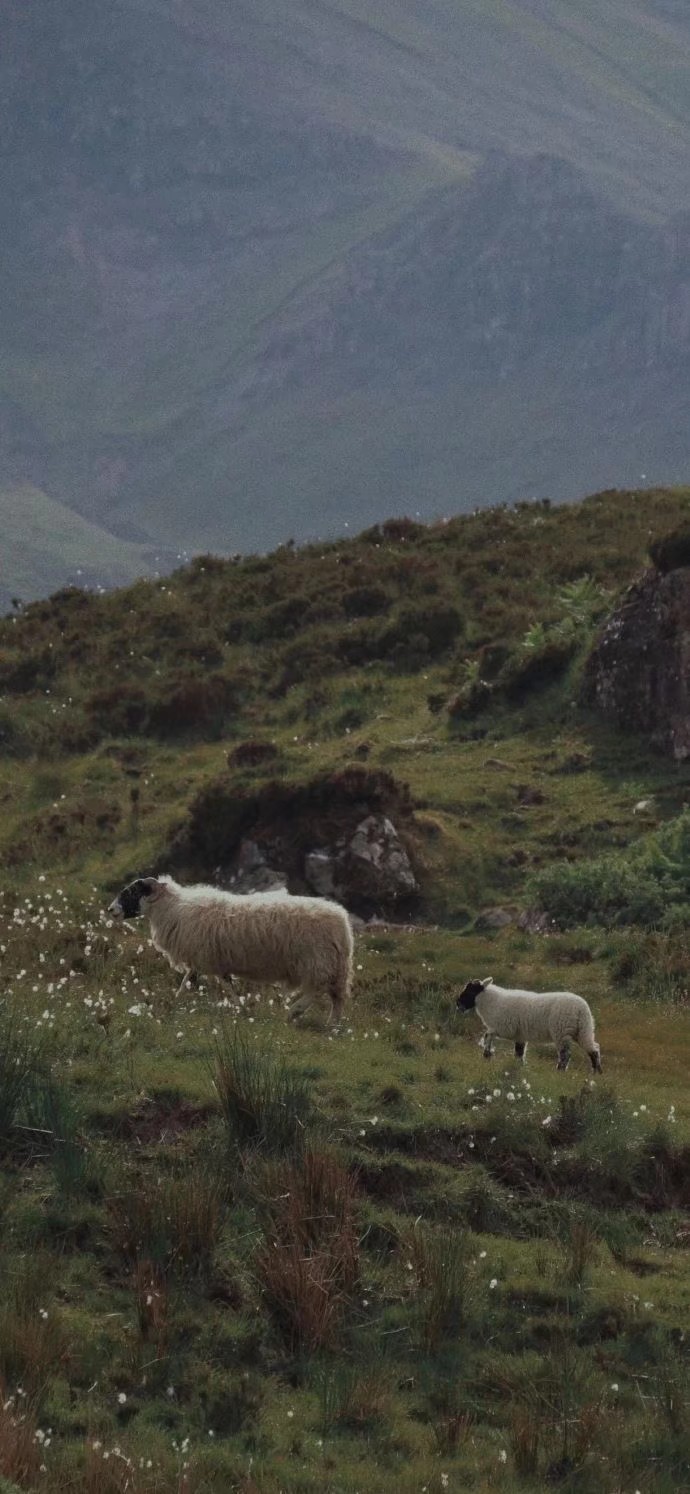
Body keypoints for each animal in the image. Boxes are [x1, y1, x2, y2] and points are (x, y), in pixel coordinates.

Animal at [109, 872, 355, 1027]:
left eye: (131, 892)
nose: (111, 910)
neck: (173, 910)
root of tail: (342, 922)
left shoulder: (207, 959)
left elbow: (220, 985)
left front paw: (241, 1009)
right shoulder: (205, 960)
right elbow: (192, 982)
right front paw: (175, 1003)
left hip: (316, 961)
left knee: (318, 989)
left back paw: (295, 1011)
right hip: (333, 965)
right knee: (336, 997)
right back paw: (332, 1024)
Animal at [454, 974, 600, 1069]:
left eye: (470, 990)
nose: (458, 1004)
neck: (492, 1002)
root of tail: (582, 1009)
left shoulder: (504, 1028)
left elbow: (487, 1034)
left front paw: (487, 1053)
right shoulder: (520, 1036)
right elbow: (519, 1053)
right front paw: (520, 1067)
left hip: (562, 1032)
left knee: (565, 1055)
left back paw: (560, 1071)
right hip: (584, 1030)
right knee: (594, 1049)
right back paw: (596, 1073)